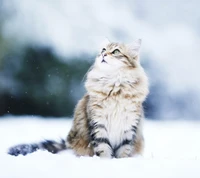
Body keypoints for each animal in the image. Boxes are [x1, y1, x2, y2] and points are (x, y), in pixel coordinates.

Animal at [7, 39, 148, 159]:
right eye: (103, 49)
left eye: (116, 51)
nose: (103, 55)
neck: (114, 88)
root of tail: (67, 143)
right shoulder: (98, 124)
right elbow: (103, 149)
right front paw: (105, 162)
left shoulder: (129, 127)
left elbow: (124, 151)